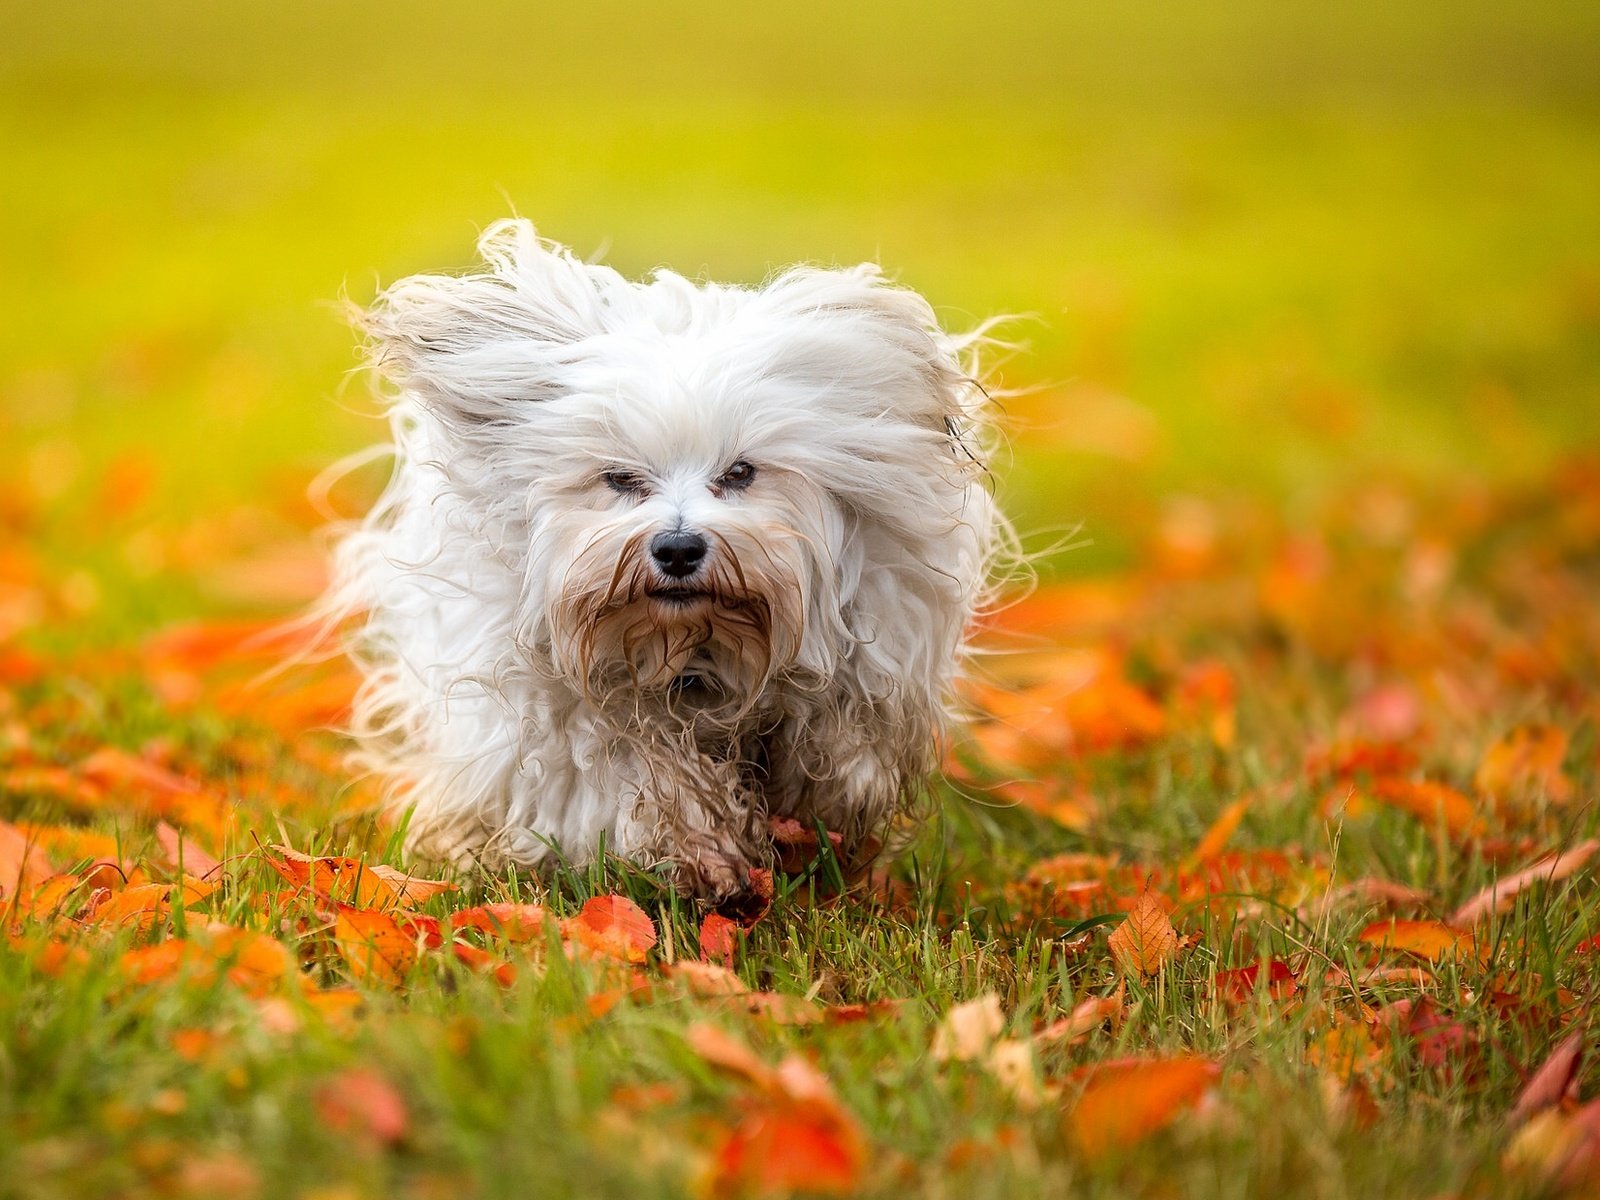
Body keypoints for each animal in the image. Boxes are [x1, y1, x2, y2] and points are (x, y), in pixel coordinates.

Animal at [321, 220, 998, 908]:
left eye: (740, 473)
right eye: (620, 479)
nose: (677, 548)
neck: (691, 647)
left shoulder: (875, 650)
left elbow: (840, 751)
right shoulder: (556, 708)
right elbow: (626, 768)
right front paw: (705, 856)